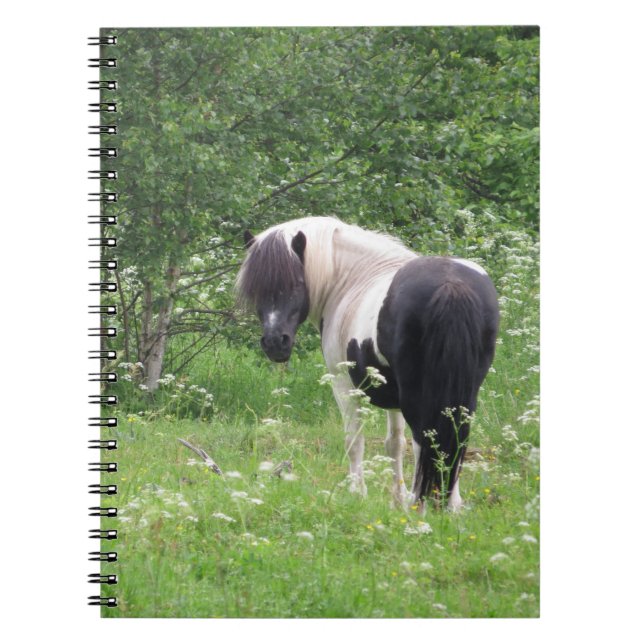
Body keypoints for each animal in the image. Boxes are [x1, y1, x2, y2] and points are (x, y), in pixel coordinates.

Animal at [236, 216, 499, 510]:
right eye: (255, 289)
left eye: (295, 284)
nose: (274, 343)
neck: (351, 279)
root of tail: (450, 285)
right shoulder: (392, 393)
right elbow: (394, 443)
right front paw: (396, 501)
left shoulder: (343, 384)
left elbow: (354, 440)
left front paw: (357, 494)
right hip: (463, 392)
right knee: (454, 437)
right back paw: (449, 504)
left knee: (425, 439)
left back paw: (421, 503)